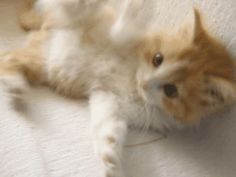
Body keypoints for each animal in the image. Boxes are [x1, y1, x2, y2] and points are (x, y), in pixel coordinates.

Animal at [1, 0, 236, 177]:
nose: (145, 83)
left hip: (41, 61)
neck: (132, 79)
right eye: (157, 59)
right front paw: (137, 9)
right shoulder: (118, 37)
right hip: (74, 19)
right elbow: (122, 29)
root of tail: (45, 26)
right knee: (76, 6)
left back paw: (14, 86)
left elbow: (108, 125)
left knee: (9, 59)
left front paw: (111, 161)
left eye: (171, 90)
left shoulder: (109, 98)